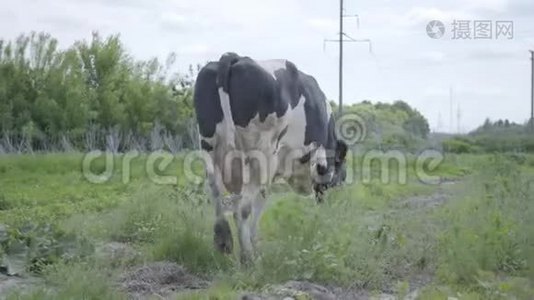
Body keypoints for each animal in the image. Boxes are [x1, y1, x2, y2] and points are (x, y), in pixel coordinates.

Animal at [195, 52, 350, 264]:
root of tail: (233, 57)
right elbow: (261, 201)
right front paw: (255, 244)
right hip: (261, 157)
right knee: (242, 207)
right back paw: (247, 257)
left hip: (208, 146)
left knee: (217, 194)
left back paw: (223, 242)